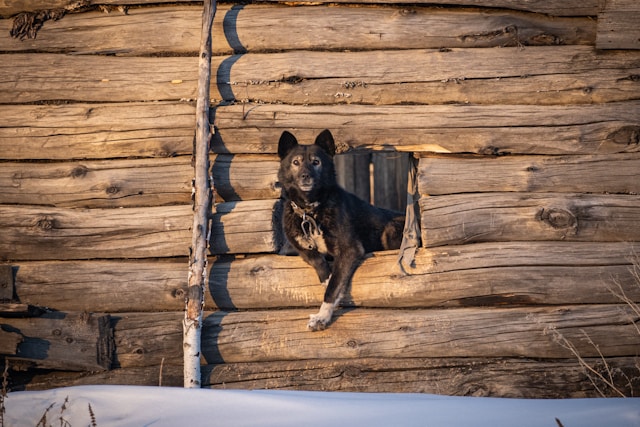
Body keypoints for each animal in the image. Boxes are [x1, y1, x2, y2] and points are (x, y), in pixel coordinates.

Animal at [276, 130, 404, 332]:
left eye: (316, 162)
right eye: (296, 162)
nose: (305, 176)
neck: (311, 211)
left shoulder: (350, 249)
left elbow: (334, 287)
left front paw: (322, 316)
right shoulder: (298, 247)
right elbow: (313, 257)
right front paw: (325, 276)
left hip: (390, 230)